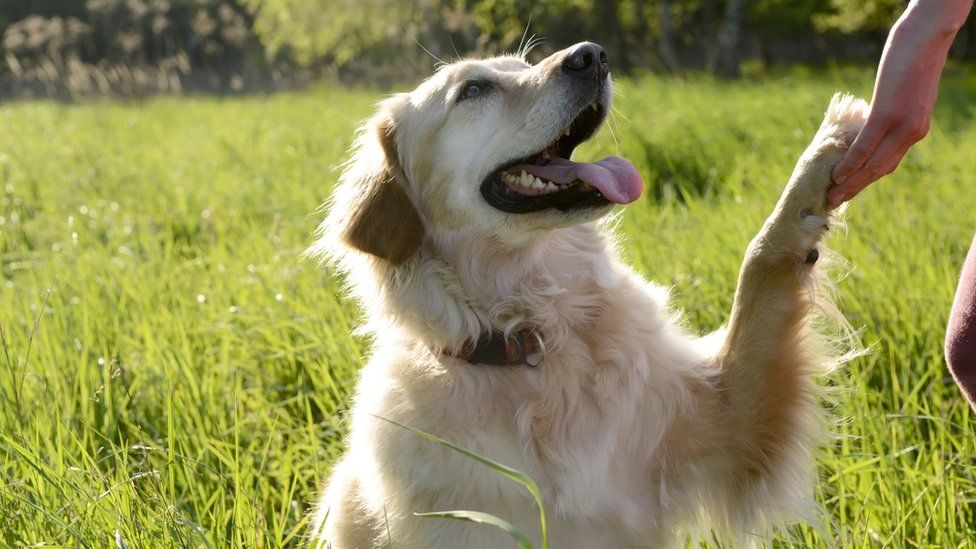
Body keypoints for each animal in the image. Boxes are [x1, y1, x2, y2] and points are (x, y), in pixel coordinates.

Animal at [308, 40, 864, 544]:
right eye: (473, 90)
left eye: (523, 64)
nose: (591, 55)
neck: (536, 340)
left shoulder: (728, 422)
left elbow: (760, 268)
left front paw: (827, 148)